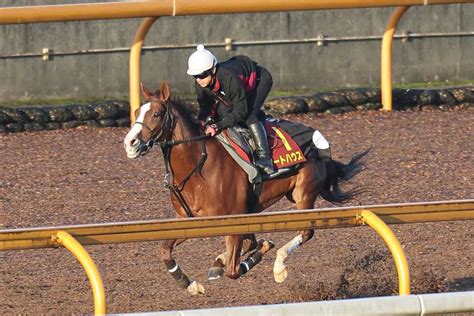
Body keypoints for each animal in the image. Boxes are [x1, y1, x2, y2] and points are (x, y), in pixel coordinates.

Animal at [122, 80, 366, 296]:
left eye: (156, 114)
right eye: (136, 111)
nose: (130, 143)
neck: (198, 168)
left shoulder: (235, 218)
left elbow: (235, 269)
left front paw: (255, 254)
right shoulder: (188, 220)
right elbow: (165, 250)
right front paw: (190, 284)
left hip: (302, 195)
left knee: (306, 232)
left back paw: (278, 267)